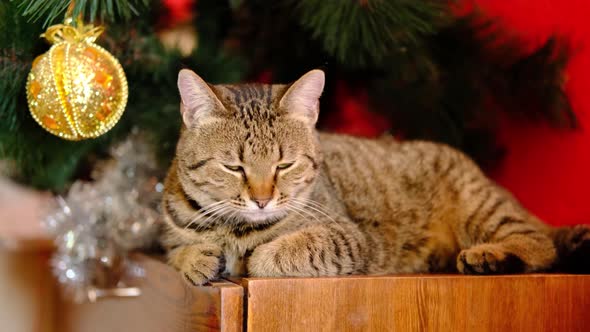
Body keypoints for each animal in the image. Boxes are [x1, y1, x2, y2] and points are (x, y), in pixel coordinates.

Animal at [160, 68, 588, 284]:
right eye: (234, 167)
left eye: (284, 165)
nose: (262, 200)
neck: (233, 229)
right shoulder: (173, 229)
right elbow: (176, 250)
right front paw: (195, 258)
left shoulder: (349, 238)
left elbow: (278, 253)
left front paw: (253, 257)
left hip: (480, 207)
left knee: (539, 243)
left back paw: (492, 256)